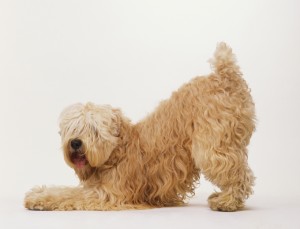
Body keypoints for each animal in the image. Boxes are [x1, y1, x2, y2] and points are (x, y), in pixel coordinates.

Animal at [25, 42, 255, 211]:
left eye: (94, 130)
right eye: (73, 128)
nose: (75, 143)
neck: (117, 152)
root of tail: (225, 74)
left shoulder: (107, 194)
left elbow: (68, 194)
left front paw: (39, 199)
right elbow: (63, 189)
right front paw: (38, 193)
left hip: (213, 147)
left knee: (238, 174)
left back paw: (227, 202)